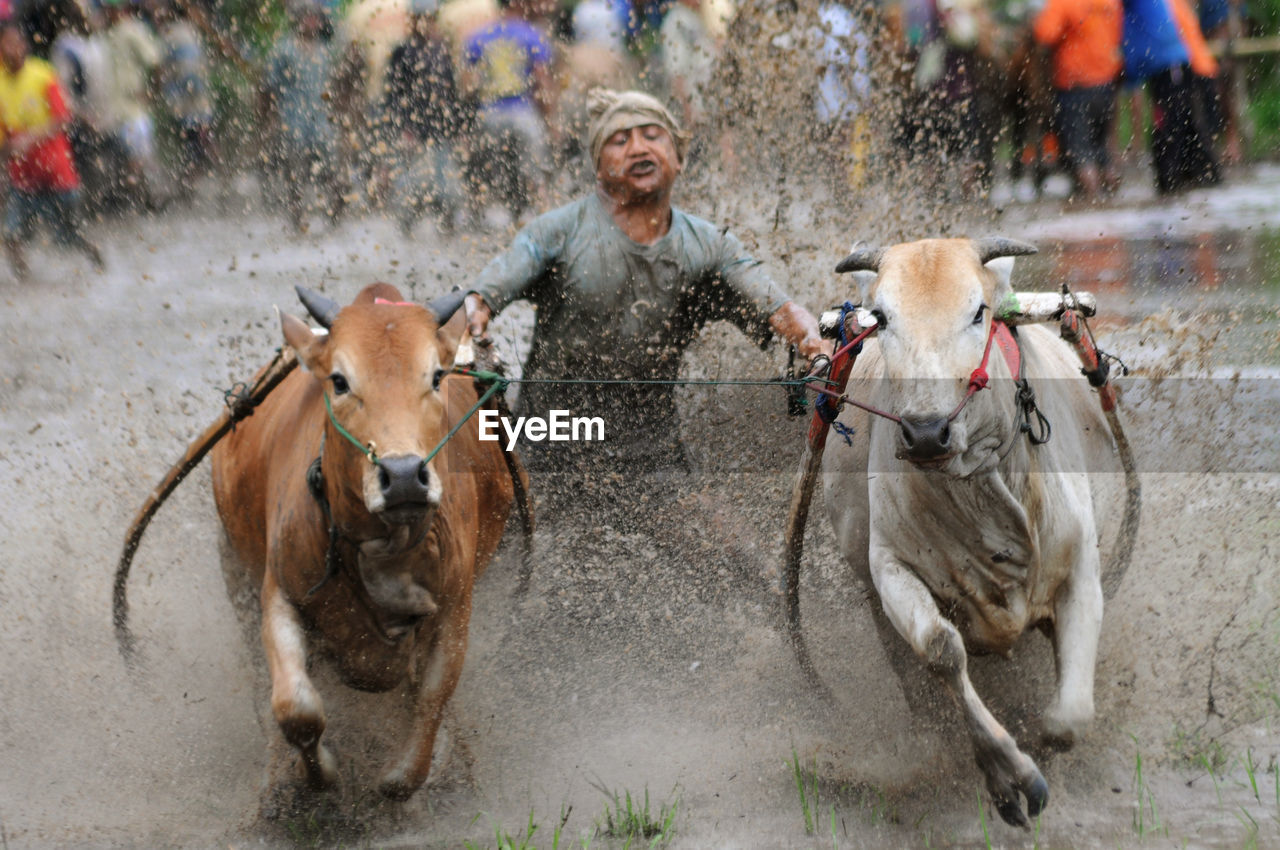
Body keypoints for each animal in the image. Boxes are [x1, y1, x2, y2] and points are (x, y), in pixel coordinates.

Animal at [208, 281, 509, 798]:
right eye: (340, 380)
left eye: (436, 376)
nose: (403, 475)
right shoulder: (278, 593)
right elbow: (295, 708)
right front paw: (321, 773)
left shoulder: (456, 605)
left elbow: (430, 702)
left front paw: (403, 777)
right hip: (235, 573)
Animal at [824, 235, 1126, 824]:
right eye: (882, 318)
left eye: (978, 312)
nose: (925, 433)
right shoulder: (888, 566)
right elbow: (942, 650)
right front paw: (1011, 777)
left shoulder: (1081, 569)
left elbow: (1068, 720)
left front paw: (1042, 747)